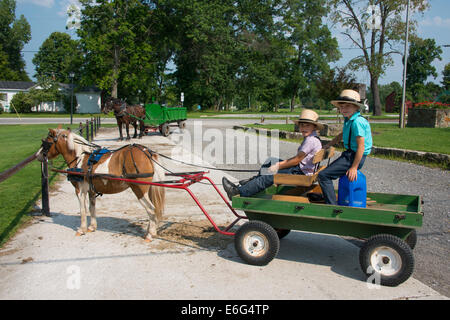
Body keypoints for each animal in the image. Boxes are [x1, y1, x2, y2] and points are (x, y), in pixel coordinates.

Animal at [35, 129, 165, 241]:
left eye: (46, 142)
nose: (37, 155)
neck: (81, 157)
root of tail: (147, 153)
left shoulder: (79, 190)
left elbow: (82, 209)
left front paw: (82, 229)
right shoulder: (91, 191)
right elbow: (91, 208)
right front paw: (92, 227)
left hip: (139, 190)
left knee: (151, 209)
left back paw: (150, 234)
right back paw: (149, 231)